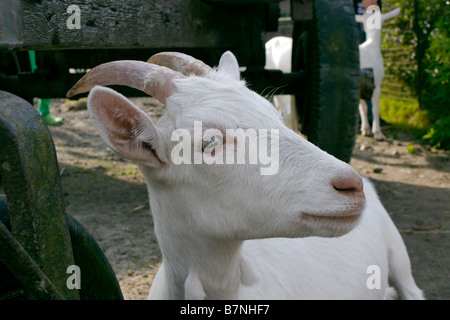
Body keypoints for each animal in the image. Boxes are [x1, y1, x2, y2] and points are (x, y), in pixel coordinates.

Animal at [358, 6, 400, 140]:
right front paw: (377, 133)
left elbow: (363, 109)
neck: (372, 42)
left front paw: (365, 130)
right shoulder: (376, 85)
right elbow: (375, 109)